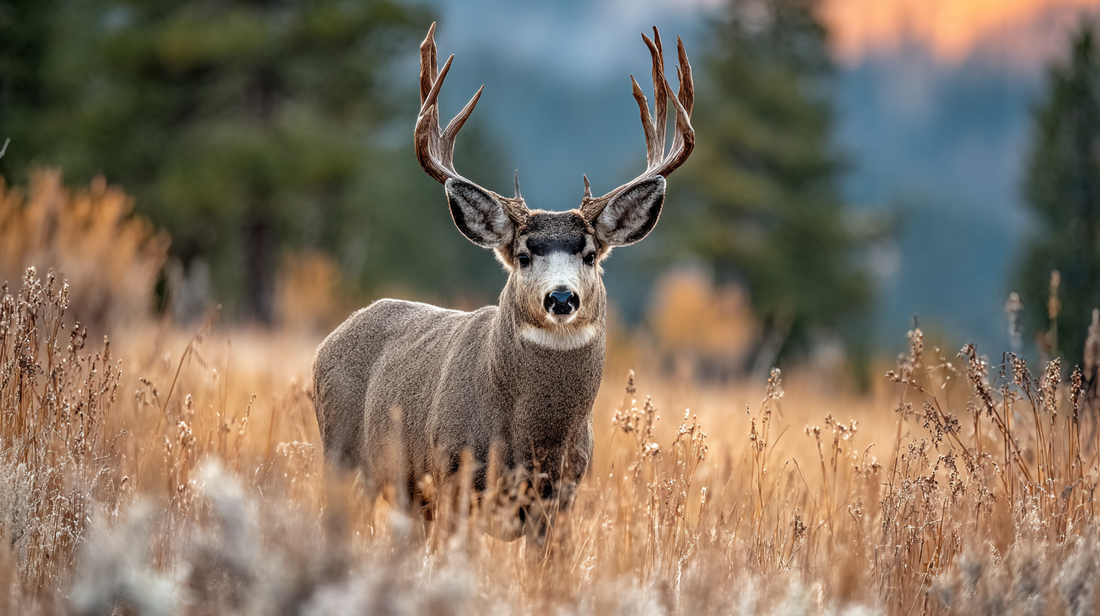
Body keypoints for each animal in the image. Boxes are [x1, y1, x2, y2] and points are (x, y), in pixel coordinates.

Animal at [312, 23, 693, 551]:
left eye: (590, 255)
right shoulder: (454, 478)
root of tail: (328, 341)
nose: (561, 297)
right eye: (524, 255)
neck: (531, 441)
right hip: (343, 456)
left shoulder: (560, 498)